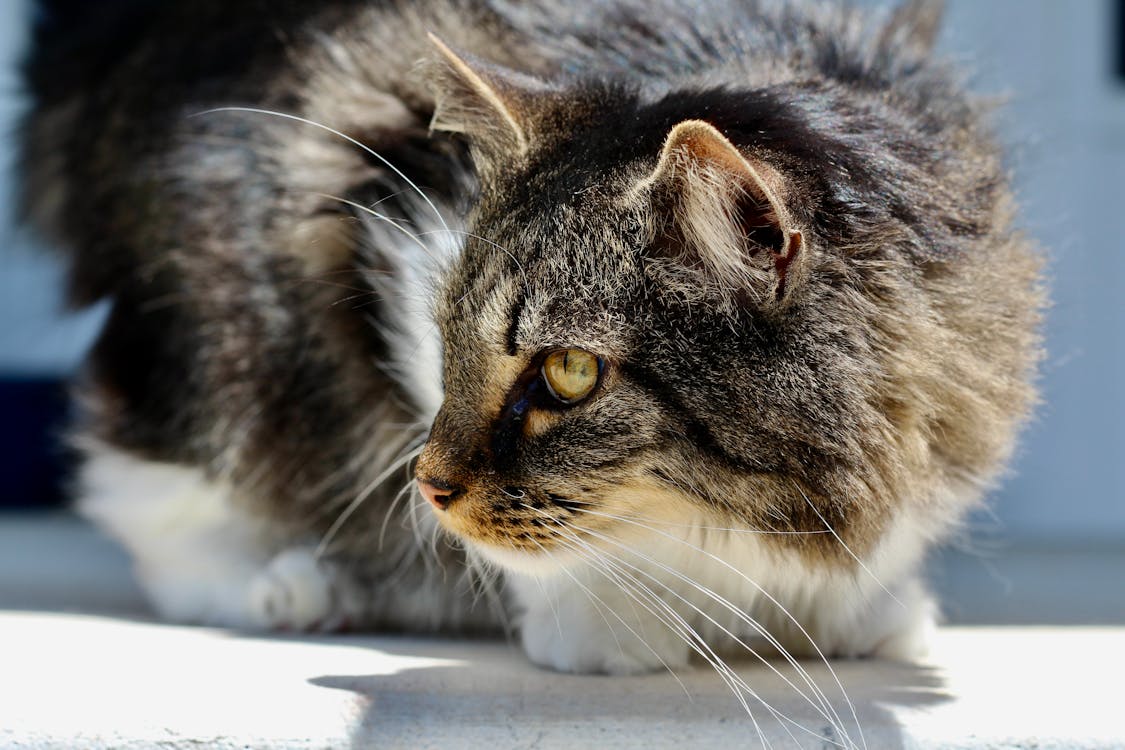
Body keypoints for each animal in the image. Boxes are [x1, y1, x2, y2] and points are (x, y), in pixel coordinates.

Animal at [21, 0, 1044, 710]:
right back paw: (297, 583)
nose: (427, 484)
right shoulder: (386, 213)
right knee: (157, 486)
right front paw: (611, 615)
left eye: (568, 373)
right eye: (447, 339)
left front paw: (857, 607)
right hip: (223, 313)